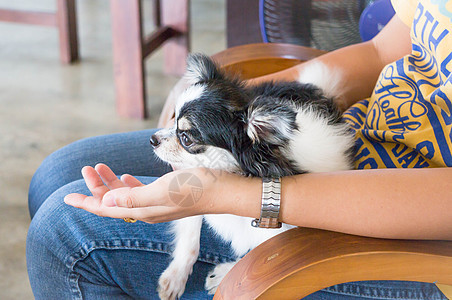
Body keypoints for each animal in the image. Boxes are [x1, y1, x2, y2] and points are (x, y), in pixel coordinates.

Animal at [150, 52, 354, 298]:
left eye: (186, 138)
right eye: (173, 122)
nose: (153, 139)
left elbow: (258, 254)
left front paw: (224, 274)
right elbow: (190, 238)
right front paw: (175, 277)